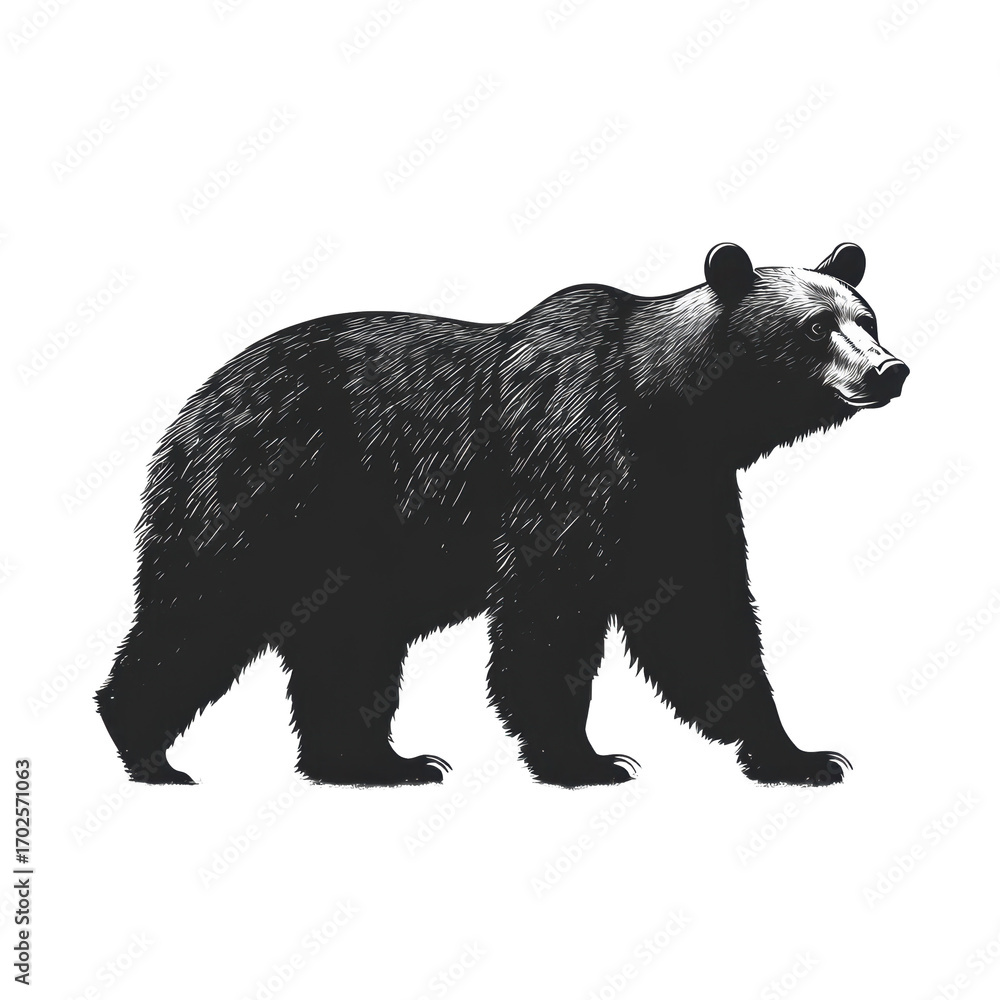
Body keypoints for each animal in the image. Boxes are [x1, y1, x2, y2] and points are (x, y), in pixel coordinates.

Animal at [96, 242, 908, 788]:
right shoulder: (571, 463)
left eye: (866, 315)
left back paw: (378, 762)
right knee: (203, 610)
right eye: (814, 328)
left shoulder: (681, 499)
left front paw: (800, 754)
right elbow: (550, 614)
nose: (888, 369)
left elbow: (705, 621)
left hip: (354, 552)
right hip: (270, 486)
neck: (669, 411)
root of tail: (200, 395)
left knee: (348, 642)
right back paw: (147, 750)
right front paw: (584, 758)